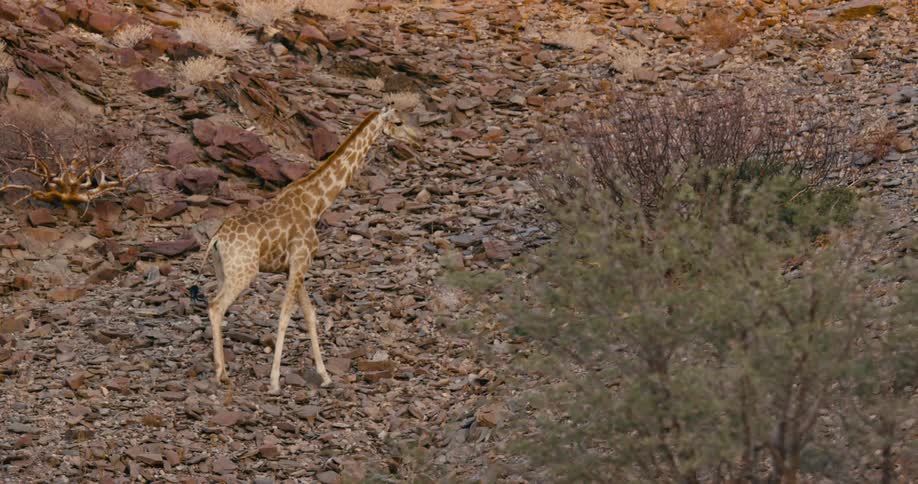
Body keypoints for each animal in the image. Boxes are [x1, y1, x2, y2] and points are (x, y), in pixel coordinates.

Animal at [202, 107, 420, 394]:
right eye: (398, 122)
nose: (418, 141)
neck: (316, 203)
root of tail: (216, 238)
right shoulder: (300, 260)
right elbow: (285, 315)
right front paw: (274, 382)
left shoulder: (294, 267)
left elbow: (310, 315)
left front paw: (325, 376)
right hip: (244, 272)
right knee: (216, 307)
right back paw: (221, 375)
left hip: (222, 272)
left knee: (214, 304)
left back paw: (223, 372)